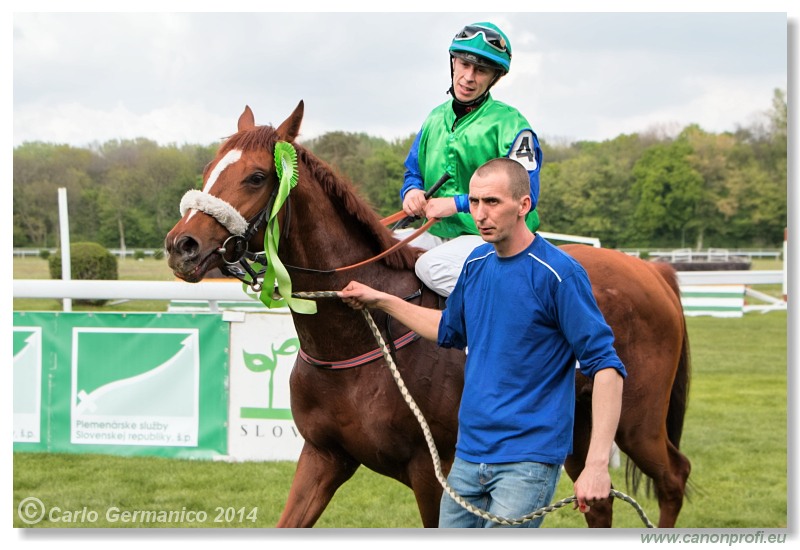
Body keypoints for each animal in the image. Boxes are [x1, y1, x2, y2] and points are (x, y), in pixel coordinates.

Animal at [166, 100, 692, 532]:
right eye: (209, 168)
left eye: (257, 176)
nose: (180, 245)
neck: (356, 341)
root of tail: (652, 270)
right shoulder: (323, 455)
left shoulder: (436, 475)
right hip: (582, 430)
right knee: (599, 501)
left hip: (636, 421)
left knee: (674, 476)